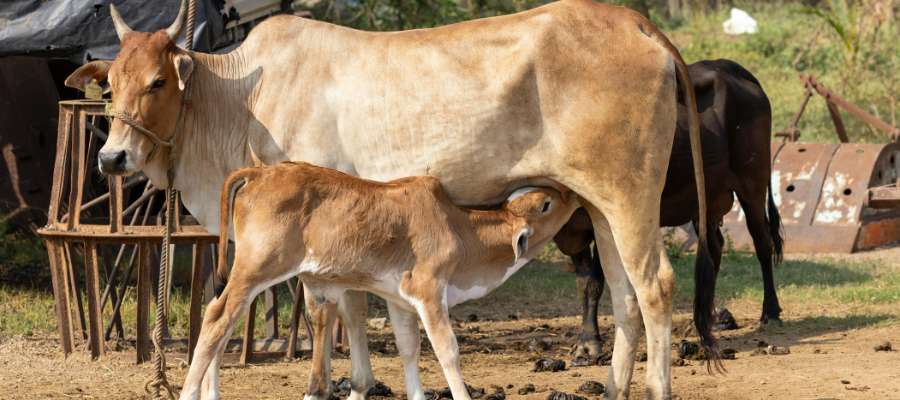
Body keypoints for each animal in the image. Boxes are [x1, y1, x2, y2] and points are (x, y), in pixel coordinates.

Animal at [195, 162, 581, 400]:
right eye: (546, 204)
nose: (572, 193)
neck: (458, 227)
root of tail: (258, 172)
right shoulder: (429, 290)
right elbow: (447, 350)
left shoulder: (399, 299)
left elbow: (408, 348)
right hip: (257, 267)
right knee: (216, 318)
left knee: (221, 322)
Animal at [554, 59, 784, 356]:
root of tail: (726, 66)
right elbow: (582, 283)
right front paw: (586, 337)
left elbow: (595, 282)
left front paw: (589, 342)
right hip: (705, 201)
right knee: (714, 248)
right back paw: (703, 319)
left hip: (753, 182)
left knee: (763, 243)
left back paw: (770, 313)